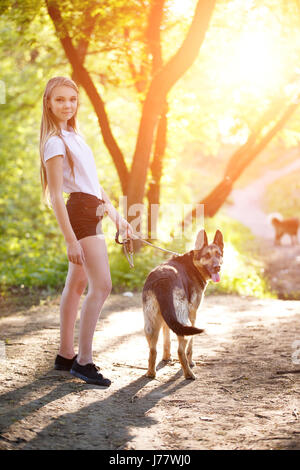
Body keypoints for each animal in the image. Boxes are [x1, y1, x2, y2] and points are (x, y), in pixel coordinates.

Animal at [142, 229, 223, 380]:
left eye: (218, 254)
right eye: (207, 255)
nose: (217, 267)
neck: (193, 263)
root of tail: (163, 281)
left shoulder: (166, 319)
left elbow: (166, 338)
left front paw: (166, 357)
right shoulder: (193, 315)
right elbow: (190, 348)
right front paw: (191, 362)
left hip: (151, 325)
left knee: (152, 350)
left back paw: (151, 373)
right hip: (186, 324)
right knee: (181, 350)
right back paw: (189, 374)